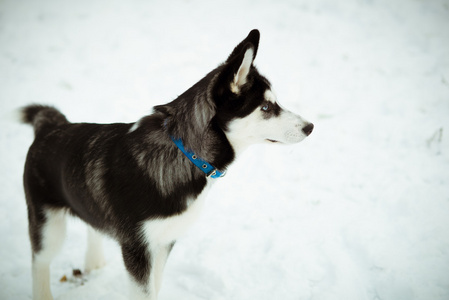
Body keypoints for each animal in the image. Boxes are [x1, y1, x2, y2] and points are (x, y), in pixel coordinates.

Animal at [21, 29, 312, 298]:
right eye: (265, 107)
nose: (310, 127)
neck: (186, 153)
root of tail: (51, 126)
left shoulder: (163, 241)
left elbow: (156, 286)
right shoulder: (137, 248)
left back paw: (94, 262)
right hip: (48, 226)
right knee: (39, 262)